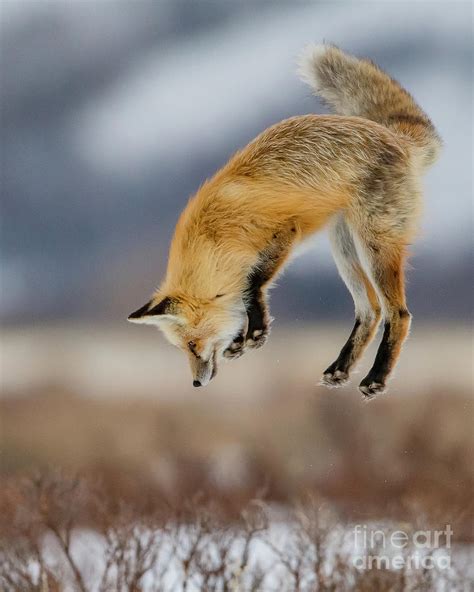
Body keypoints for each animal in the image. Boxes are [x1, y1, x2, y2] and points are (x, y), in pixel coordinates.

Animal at [129, 44, 440, 400]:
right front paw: (240, 339)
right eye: (183, 348)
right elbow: (245, 295)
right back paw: (340, 370)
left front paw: (256, 332)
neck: (212, 235)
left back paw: (376, 378)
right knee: (371, 311)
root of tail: (395, 138)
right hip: (343, 250)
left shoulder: (282, 233)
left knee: (398, 314)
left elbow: (252, 286)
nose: (195, 383)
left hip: (374, 246)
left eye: (193, 345)